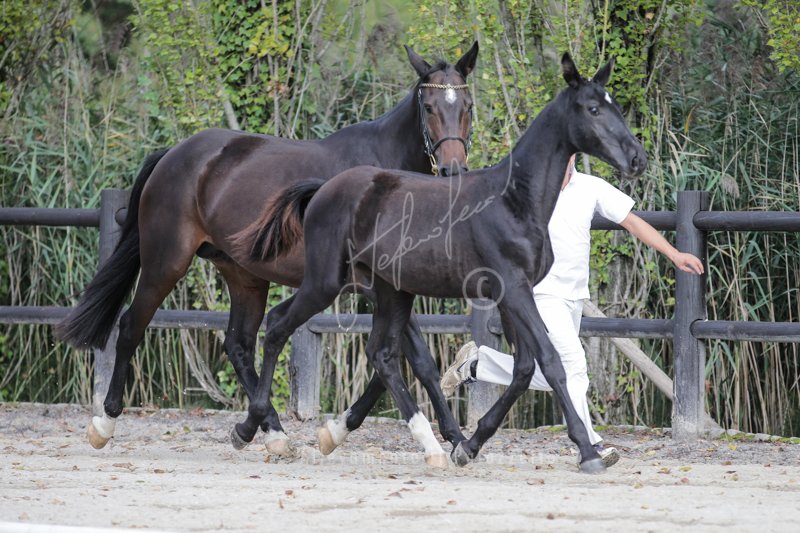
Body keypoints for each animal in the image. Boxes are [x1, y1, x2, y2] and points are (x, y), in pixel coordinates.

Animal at [56, 43, 479, 460]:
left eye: (467, 105)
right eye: (429, 107)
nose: (453, 170)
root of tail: (173, 155)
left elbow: (411, 362)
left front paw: (453, 437)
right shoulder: (375, 287)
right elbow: (411, 359)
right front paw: (447, 438)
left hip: (244, 276)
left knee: (238, 344)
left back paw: (272, 432)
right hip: (166, 263)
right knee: (131, 326)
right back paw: (104, 424)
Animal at [234, 53, 647, 472]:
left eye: (616, 106)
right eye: (593, 109)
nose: (637, 158)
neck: (512, 200)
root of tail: (323, 189)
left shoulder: (512, 295)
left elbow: (523, 368)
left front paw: (470, 445)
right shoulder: (514, 290)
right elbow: (550, 360)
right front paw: (587, 451)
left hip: (390, 290)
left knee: (381, 355)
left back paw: (403, 442)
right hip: (326, 282)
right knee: (278, 327)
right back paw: (259, 429)